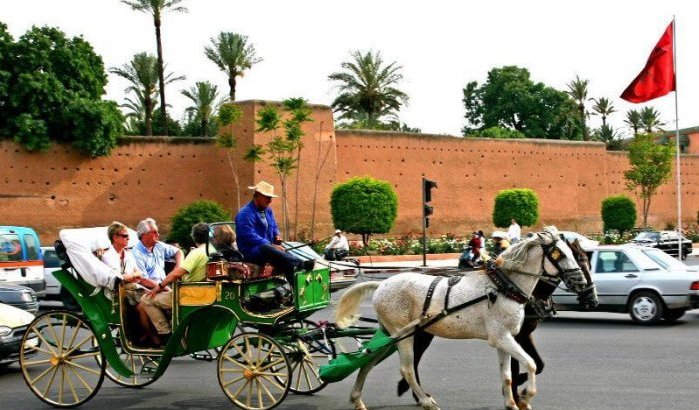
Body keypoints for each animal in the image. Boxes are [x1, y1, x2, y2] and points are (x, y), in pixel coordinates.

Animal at [336, 227, 592, 410]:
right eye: (561, 254)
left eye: (580, 257)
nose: (581, 283)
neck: (504, 287)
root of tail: (381, 284)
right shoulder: (503, 337)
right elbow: (530, 363)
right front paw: (526, 396)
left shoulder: (505, 338)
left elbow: (508, 375)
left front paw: (512, 402)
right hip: (403, 334)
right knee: (407, 369)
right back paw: (426, 401)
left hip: (391, 334)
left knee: (368, 361)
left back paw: (358, 399)